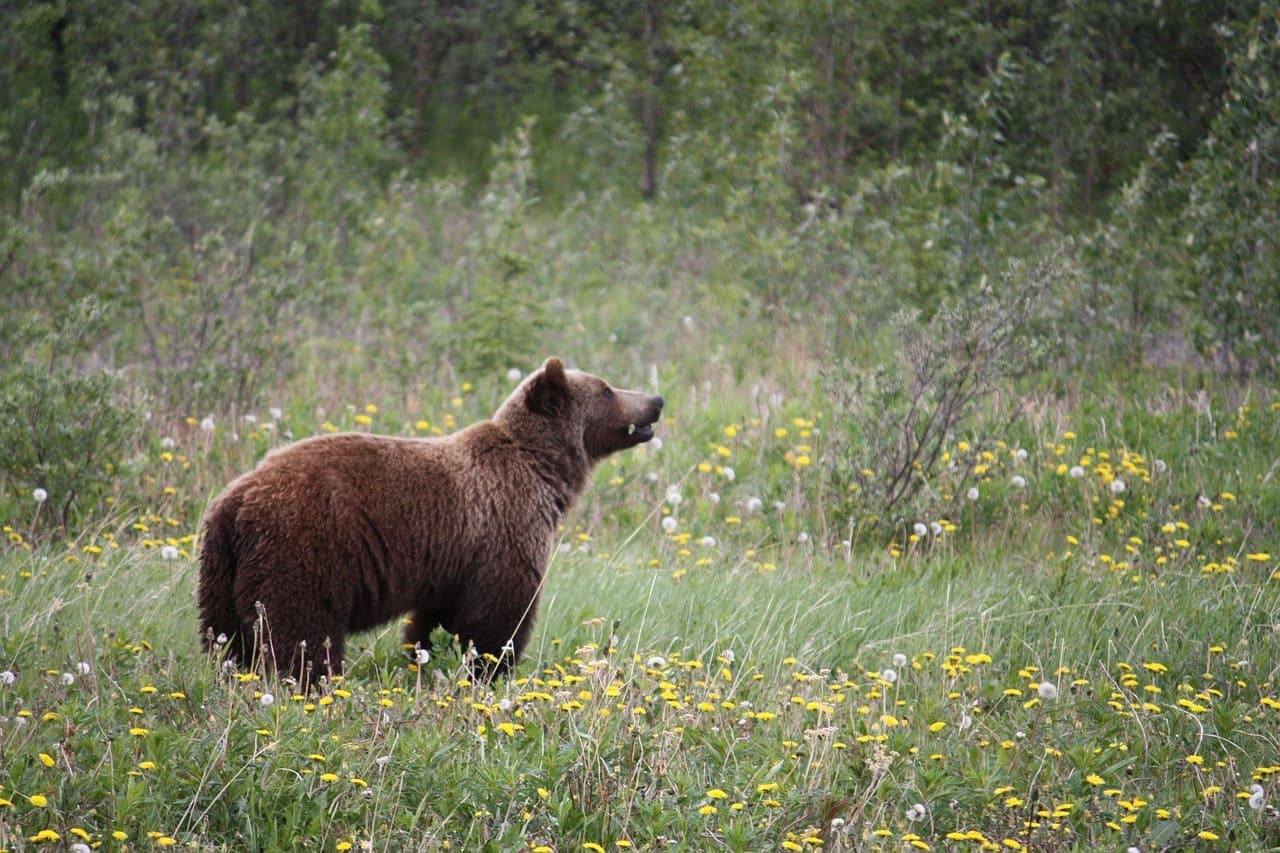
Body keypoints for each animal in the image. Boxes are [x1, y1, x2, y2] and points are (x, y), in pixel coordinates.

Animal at [197, 357, 663, 686]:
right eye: (607, 389)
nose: (656, 401)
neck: (543, 470)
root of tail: (237, 500)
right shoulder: (505, 525)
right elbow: (496, 615)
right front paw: (488, 669)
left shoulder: (453, 560)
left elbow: (437, 620)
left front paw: (426, 660)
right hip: (304, 546)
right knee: (301, 630)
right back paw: (311, 682)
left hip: (222, 569)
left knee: (224, 637)